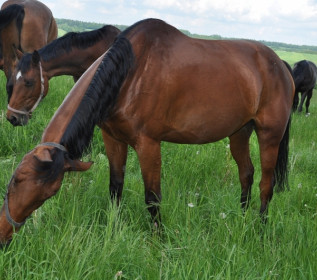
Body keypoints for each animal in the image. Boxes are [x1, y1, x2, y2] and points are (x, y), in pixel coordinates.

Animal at [0, 19, 294, 246]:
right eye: (15, 179)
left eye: (28, 81)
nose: (4, 236)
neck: (130, 71)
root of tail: (280, 64)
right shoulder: (113, 139)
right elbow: (115, 187)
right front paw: (113, 228)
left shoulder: (148, 144)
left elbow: (152, 198)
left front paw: (158, 241)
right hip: (239, 133)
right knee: (246, 174)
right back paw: (242, 219)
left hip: (269, 136)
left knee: (265, 185)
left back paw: (259, 228)